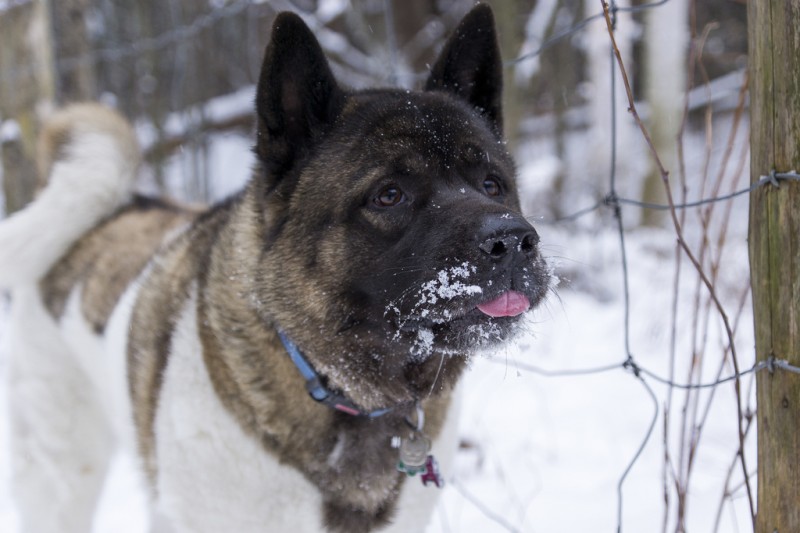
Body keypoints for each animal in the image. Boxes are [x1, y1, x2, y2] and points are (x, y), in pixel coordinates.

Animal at [0, 5, 552, 532]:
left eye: (492, 184)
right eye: (389, 195)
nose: (512, 240)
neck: (342, 393)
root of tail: (110, 209)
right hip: (62, 474)